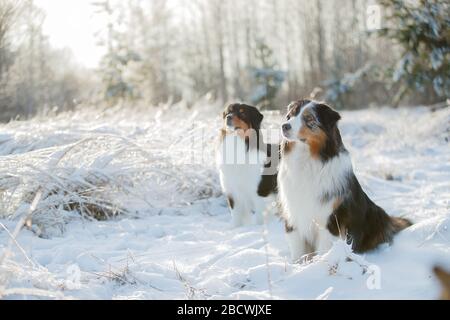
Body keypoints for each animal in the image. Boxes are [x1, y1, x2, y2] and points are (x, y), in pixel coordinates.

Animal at [278, 100, 412, 262]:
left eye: (309, 119)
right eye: (289, 116)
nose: (284, 126)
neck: (307, 159)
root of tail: (389, 220)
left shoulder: (329, 219)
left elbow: (324, 248)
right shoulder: (293, 214)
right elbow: (297, 249)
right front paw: (297, 265)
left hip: (375, 216)